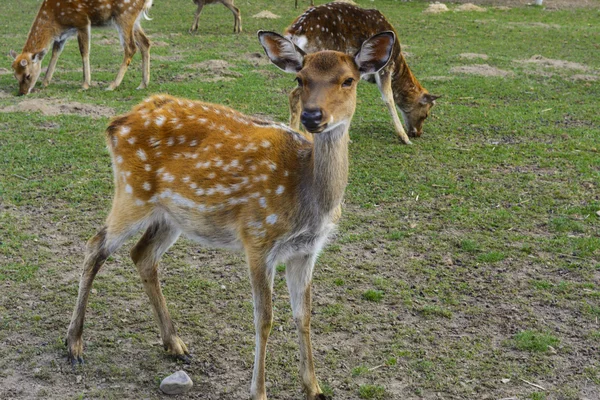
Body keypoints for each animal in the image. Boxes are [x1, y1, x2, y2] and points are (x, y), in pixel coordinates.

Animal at [9, 0, 152, 96]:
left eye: (27, 75)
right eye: (15, 75)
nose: (22, 93)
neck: (55, 17)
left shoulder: (82, 21)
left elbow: (84, 50)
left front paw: (85, 84)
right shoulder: (63, 34)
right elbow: (55, 52)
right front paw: (45, 82)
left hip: (124, 14)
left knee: (131, 47)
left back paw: (112, 85)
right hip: (134, 20)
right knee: (145, 42)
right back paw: (143, 84)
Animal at [65, 28, 396, 400]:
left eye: (348, 80)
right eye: (300, 78)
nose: (312, 116)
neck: (309, 199)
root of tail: (114, 124)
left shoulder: (307, 250)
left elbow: (304, 315)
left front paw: (314, 387)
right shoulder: (258, 238)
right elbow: (264, 319)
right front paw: (259, 391)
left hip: (172, 215)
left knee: (142, 255)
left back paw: (175, 343)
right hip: (131, 193)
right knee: (95, 245)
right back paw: (74, 344)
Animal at [284, 0, 438, 145]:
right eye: (426, 114)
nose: (417, 133)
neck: (397, 60)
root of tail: (294, 30)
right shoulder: (385, 67)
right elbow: (388, 98)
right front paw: (404, 138)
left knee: (294, 94)